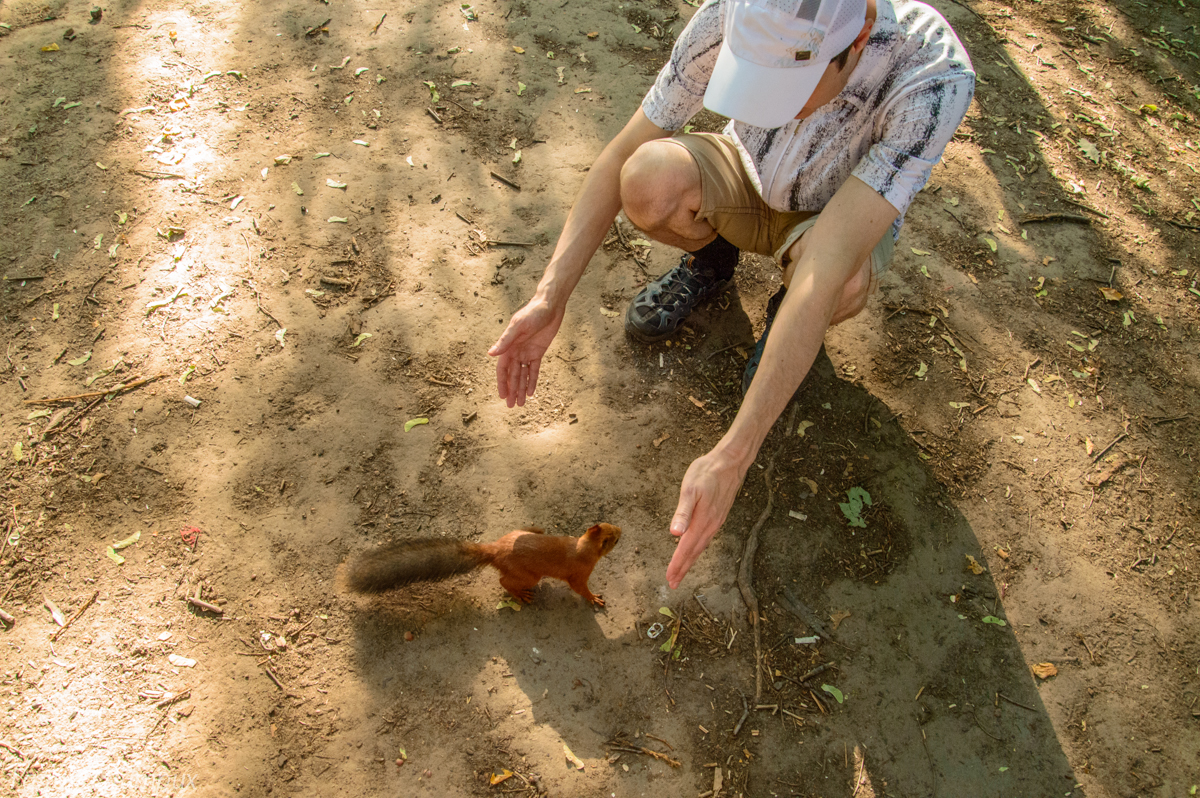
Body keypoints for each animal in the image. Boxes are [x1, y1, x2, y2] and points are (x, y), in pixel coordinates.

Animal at [338, 523, 619, 604]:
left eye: (610, 526)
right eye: (613, 539)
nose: (622, 530)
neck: (581, 547)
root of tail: (494, 550)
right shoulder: (578, 574)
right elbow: (580, 588)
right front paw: (594, 599)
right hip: (528, 575)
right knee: (504, 581)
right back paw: (521, 595)